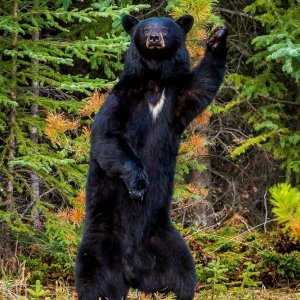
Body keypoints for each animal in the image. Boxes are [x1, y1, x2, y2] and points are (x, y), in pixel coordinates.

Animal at [75, 14, 227, 300]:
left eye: (165, 29)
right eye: (146, 29)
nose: (154, 38)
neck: (155, 81)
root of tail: (132, 271)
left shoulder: (176, 98)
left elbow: (201, 85)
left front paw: (217, 37)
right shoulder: (122, 99)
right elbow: (107, 137)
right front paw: (138, 185)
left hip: (166, 239)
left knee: (183, 270)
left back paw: (179, 291)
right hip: (100, 239)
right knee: (92, 272)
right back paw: (98, 291)